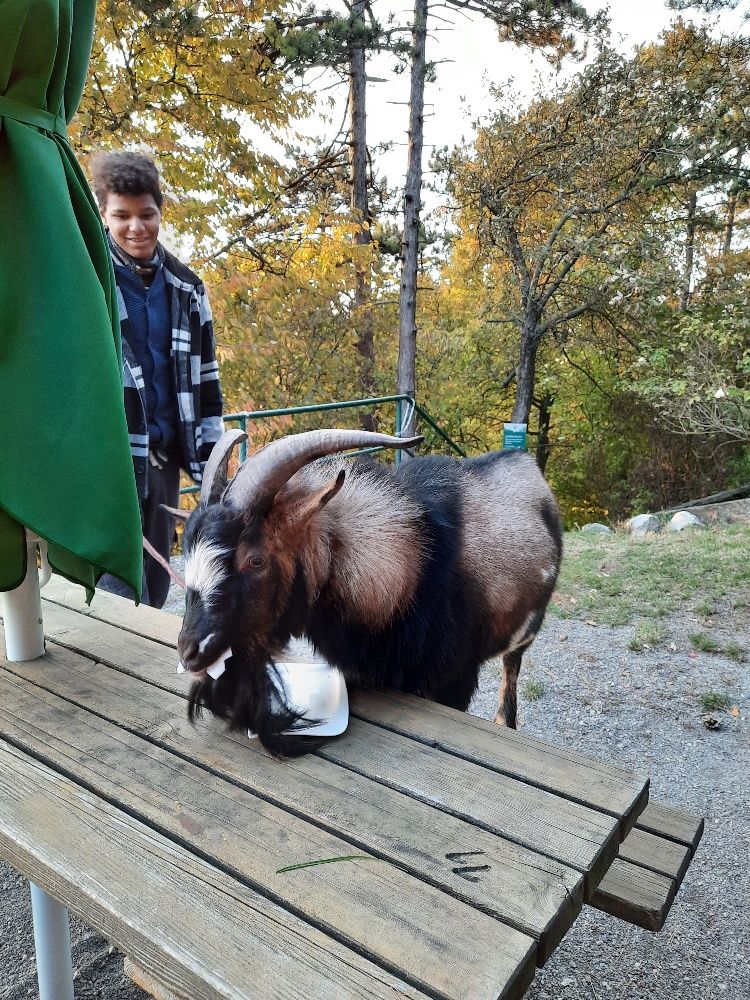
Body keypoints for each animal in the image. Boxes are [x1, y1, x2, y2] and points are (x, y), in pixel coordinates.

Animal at [172, 428, 562, 756]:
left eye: (255, 559)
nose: (190, 652)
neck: (410, 570)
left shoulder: (454, 681)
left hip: (525, 632)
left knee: (512, 668)